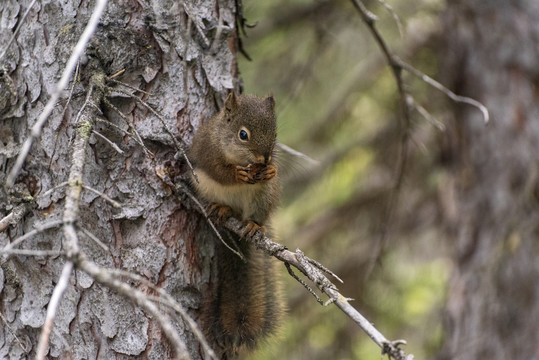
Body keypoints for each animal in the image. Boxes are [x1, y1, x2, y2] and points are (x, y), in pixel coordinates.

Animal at [189, 92, 282, 358]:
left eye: (275, 132)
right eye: (243, 134)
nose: (265, 158)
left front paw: (271, 170)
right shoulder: (207, 152)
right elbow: (219, 171)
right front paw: (236, 174)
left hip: (262, 199)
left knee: (252, 216)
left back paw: (253, 226)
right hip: (204, 188)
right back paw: (223, 209)